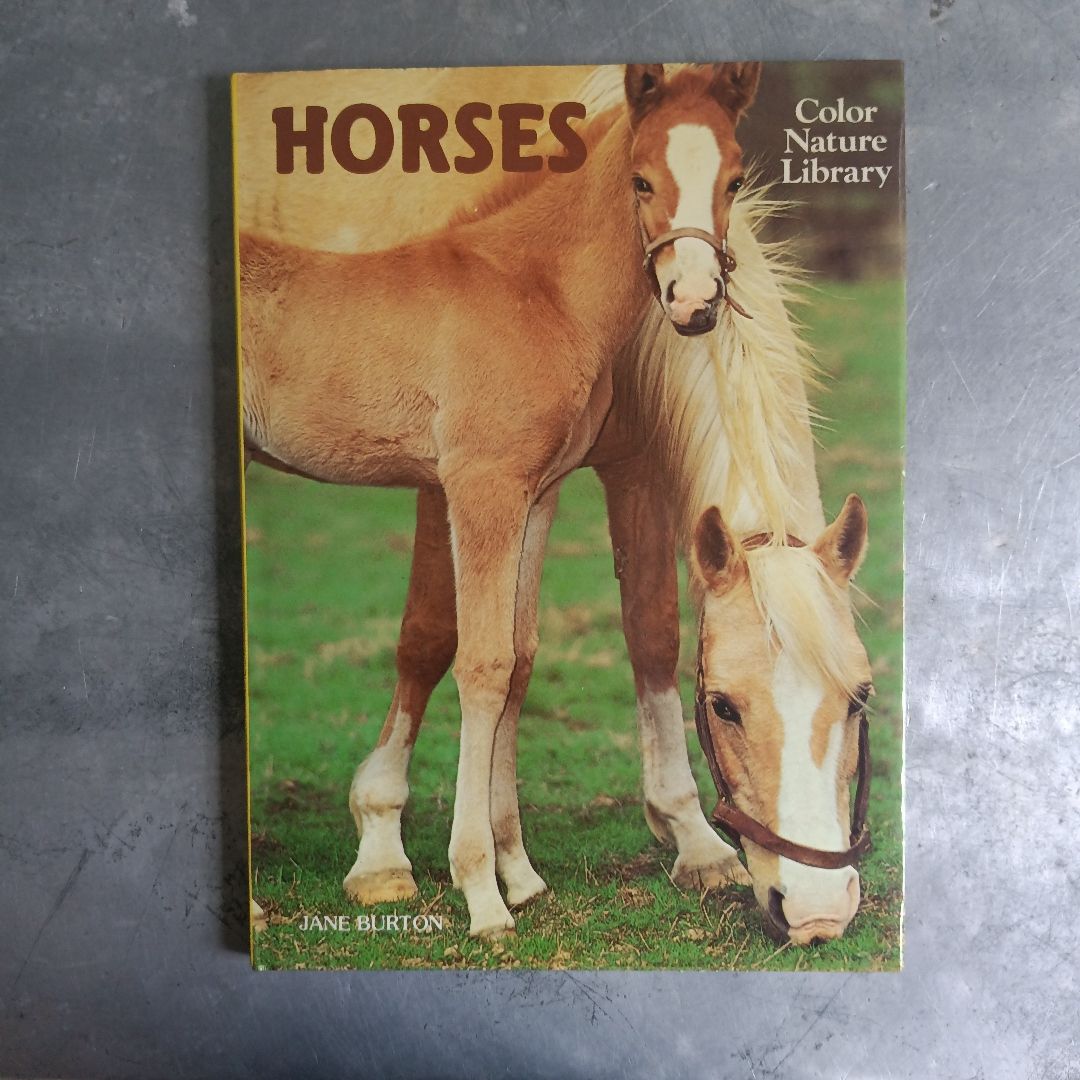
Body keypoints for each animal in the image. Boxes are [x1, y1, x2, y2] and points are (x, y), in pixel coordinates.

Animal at [240, 62, 764, 938]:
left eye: (735, 178)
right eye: (641, 179)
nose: (694, 303)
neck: (535, 285)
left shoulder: (537, 492)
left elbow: (519, 658)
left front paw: (519, 873)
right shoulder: (481, 486)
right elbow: (481, 663)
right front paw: (480, 893)